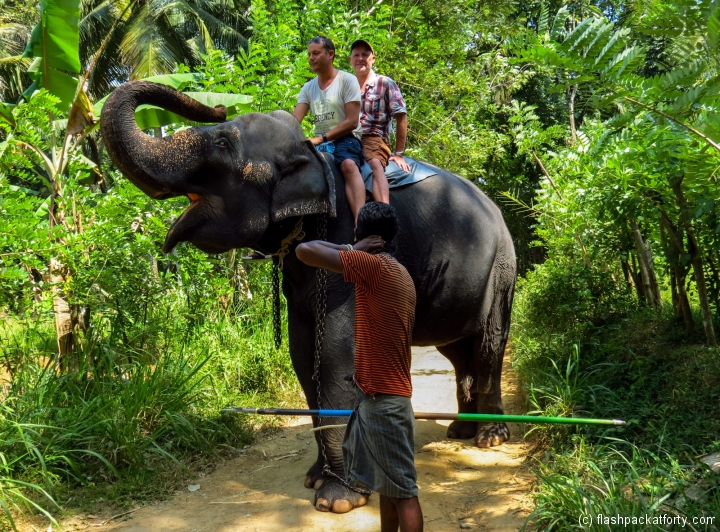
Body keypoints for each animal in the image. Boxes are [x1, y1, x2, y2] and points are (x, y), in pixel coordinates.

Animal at [101, 81, 516, 512]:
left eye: (221, 143)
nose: (217, 108)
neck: (314, 157)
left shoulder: (347, 248)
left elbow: (334, 354)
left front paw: (337, 500)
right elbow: (302, 353)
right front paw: (315, 479)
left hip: (502, 267)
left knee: (489, 343)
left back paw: (489, 438)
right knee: (458, 349)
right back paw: (460, 431)